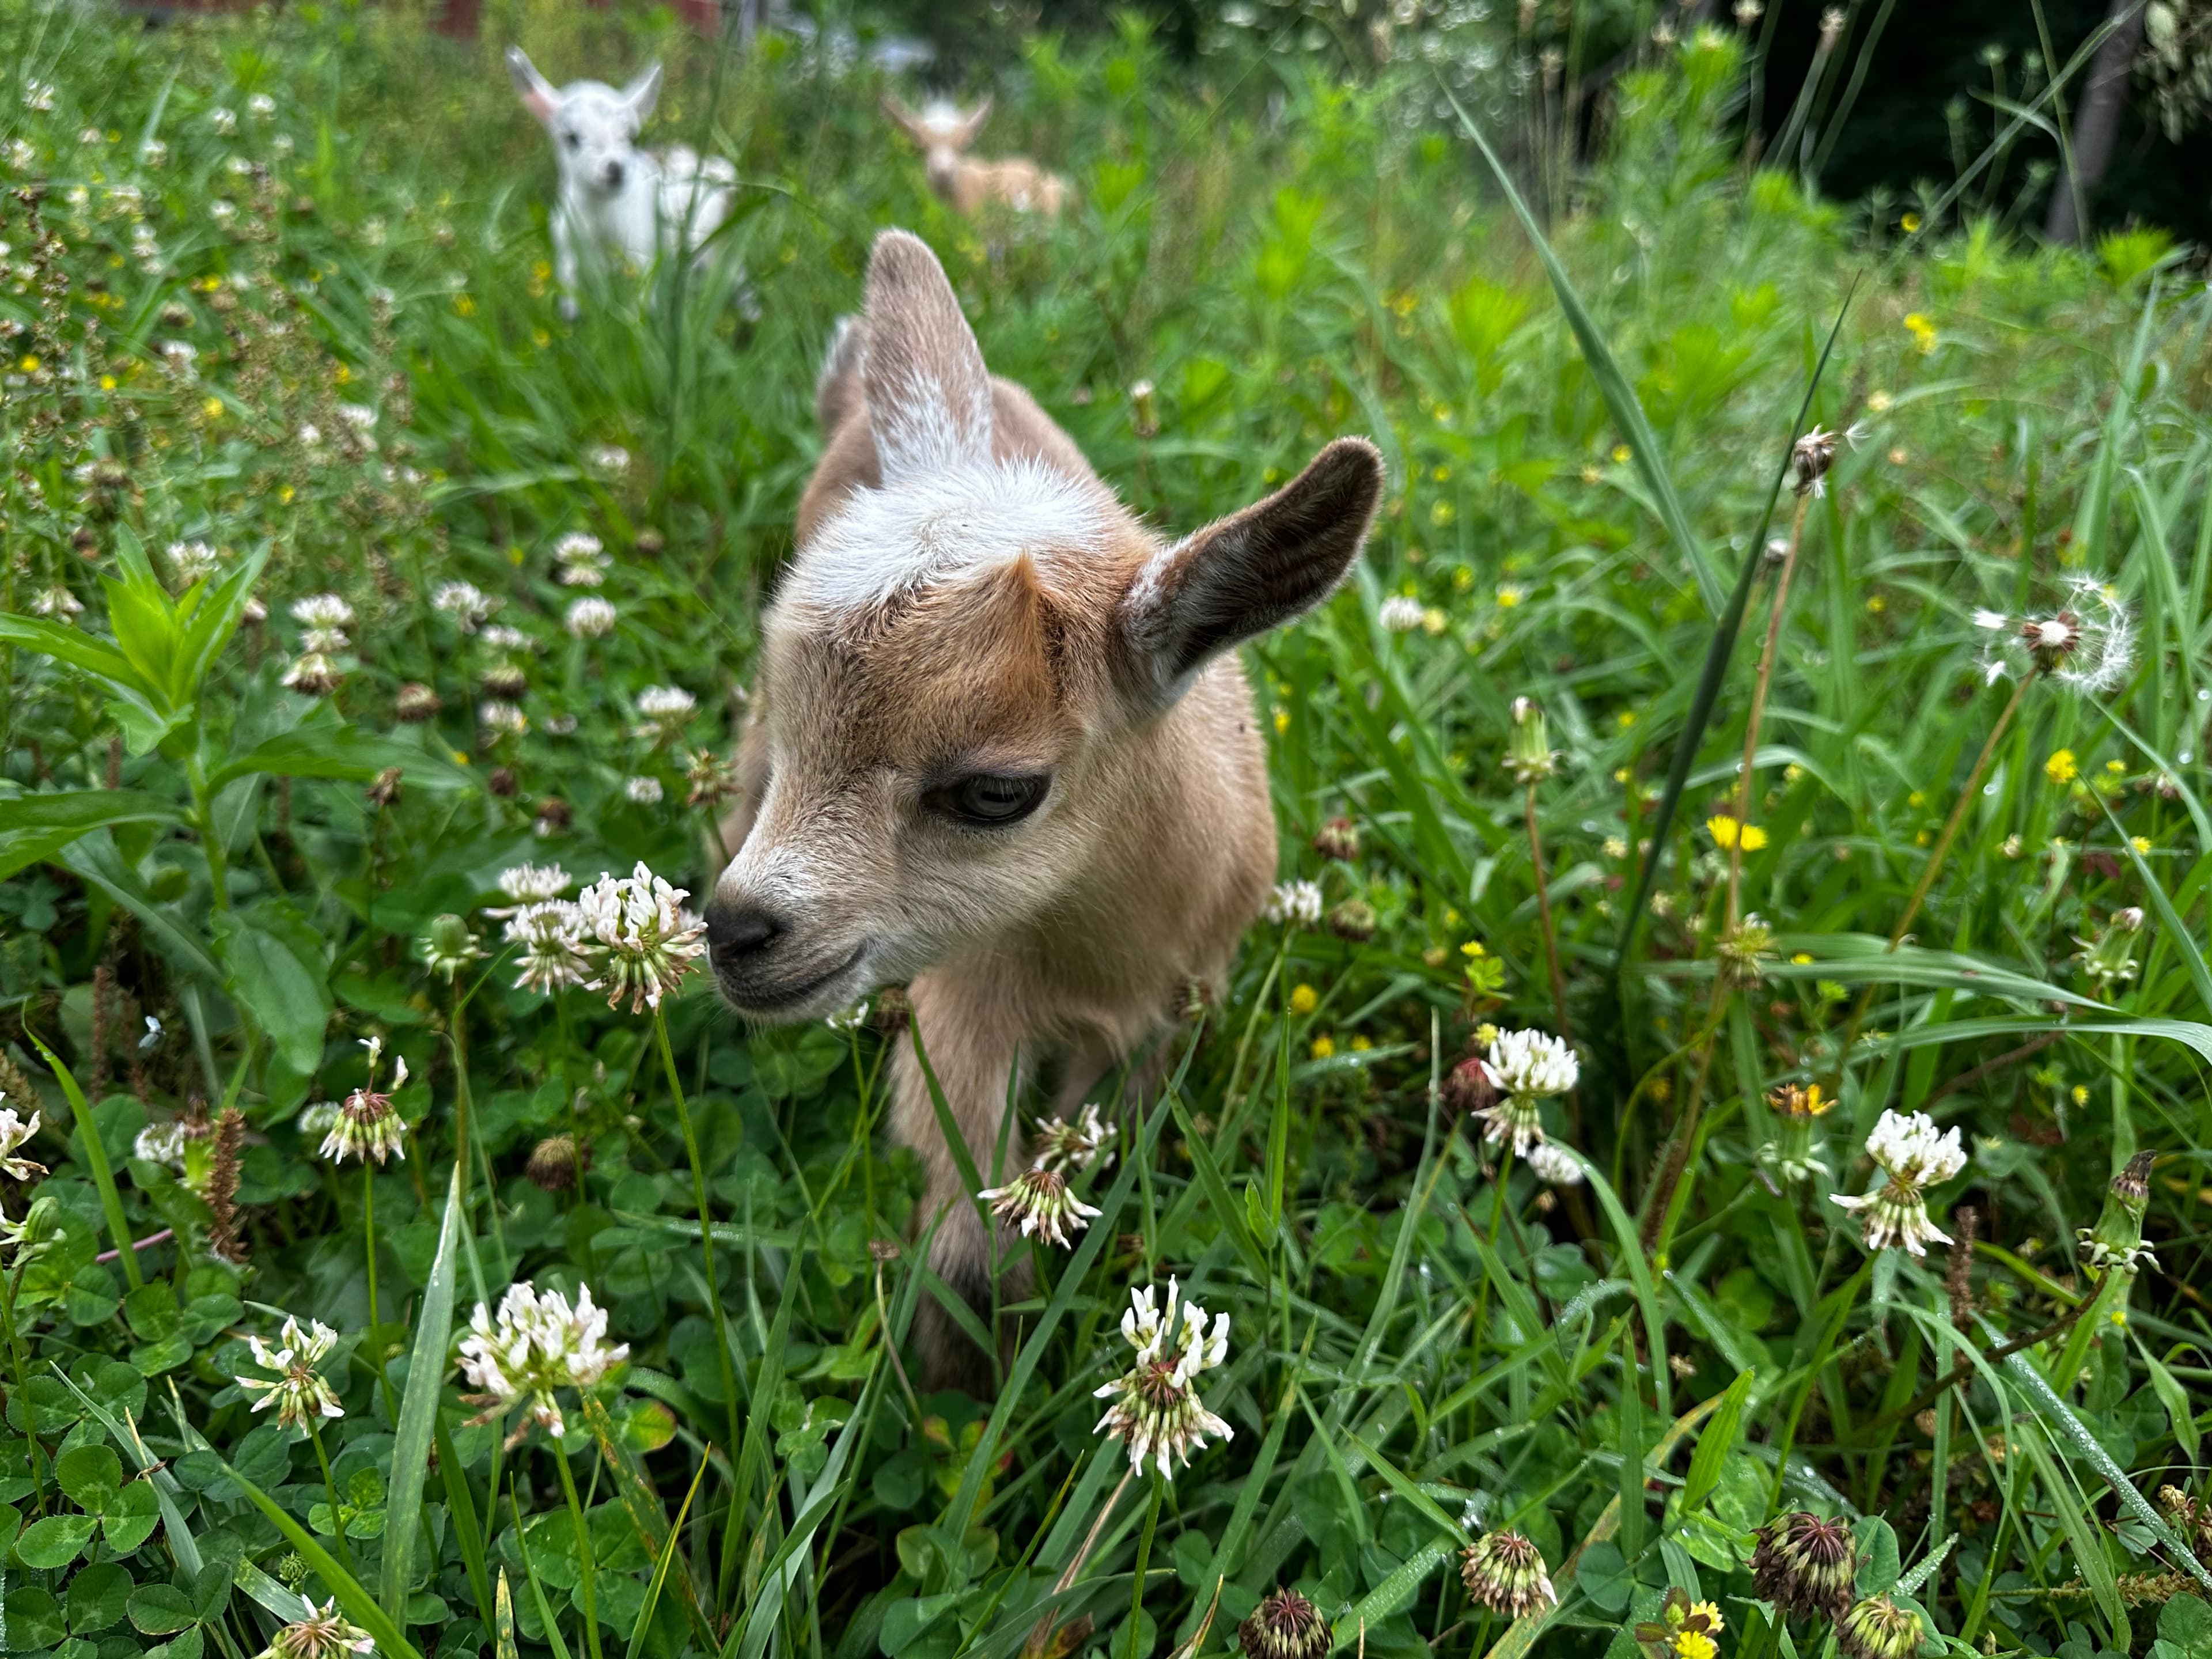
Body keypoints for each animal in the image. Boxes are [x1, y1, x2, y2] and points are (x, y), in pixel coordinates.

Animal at [507, 48, 739, 320]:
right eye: (571, 138)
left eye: (632, 136)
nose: (615, 169)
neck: (600, 216)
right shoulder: (568, 253)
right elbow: (571, 300)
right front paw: (571, 322)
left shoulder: (642, 252)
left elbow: (640, 304)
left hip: (714, 241)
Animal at [704, 229, 1382, 1391]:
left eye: (995, 791)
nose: (739, 930)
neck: (1097, 953)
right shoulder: (965, 996)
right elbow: (970, 1221)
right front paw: (959, 1376)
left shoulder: (1168, 1018)